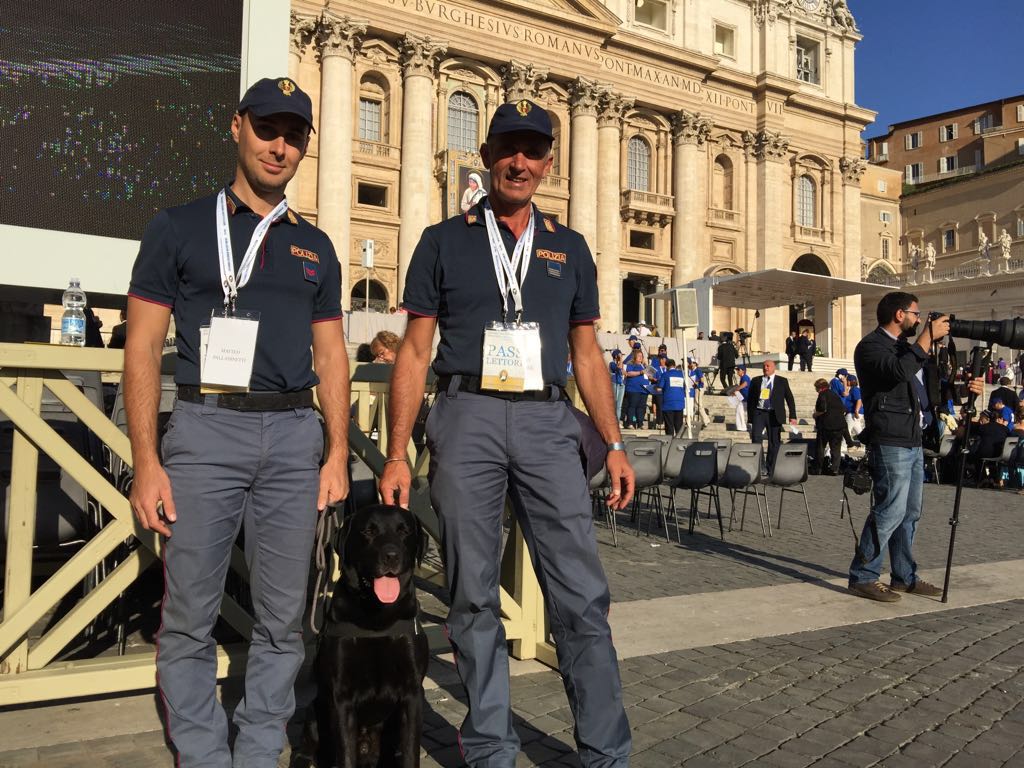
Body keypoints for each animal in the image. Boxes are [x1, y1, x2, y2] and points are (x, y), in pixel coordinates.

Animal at [296, 505, 428, 768]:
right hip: (314, 714)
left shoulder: (413, 694)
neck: (376, 619)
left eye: (404, 531)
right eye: (368, 531)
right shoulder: (342, 697)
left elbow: (411, 752)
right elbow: (346, 755)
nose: (391, 556)